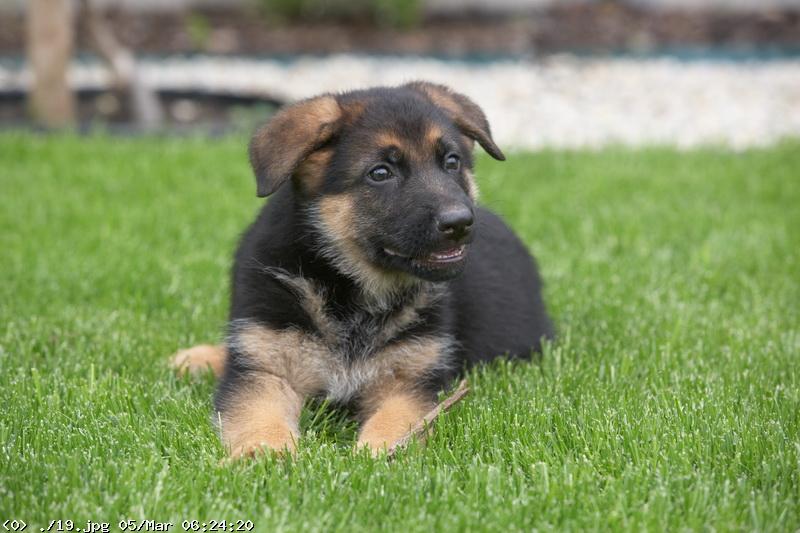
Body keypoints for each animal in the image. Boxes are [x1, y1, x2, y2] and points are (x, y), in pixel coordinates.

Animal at [171, 82, 553, 457]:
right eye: (380, 173)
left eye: (452, 162)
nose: (460, 223)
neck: (353, 289)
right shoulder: (264, 370)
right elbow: (258, 414)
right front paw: (264, 452)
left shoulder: (410, 380)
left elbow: (399, 419)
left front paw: (380, 451)